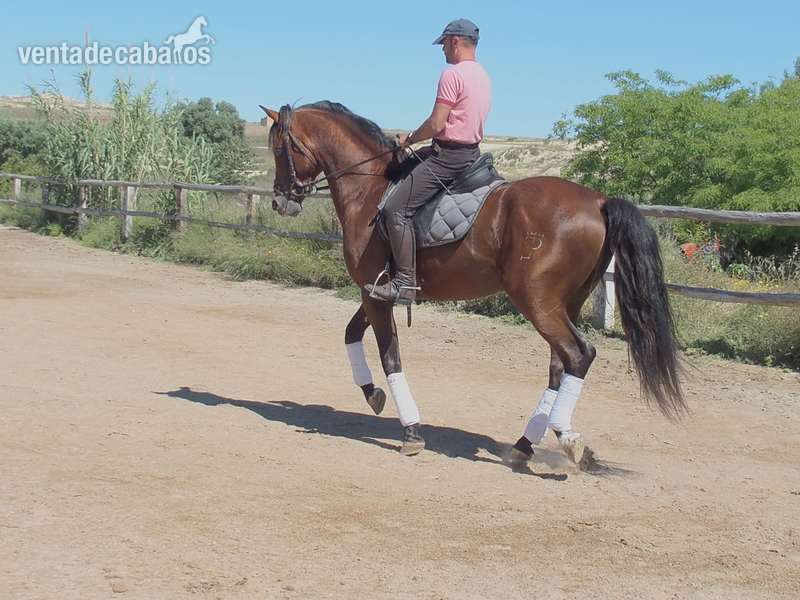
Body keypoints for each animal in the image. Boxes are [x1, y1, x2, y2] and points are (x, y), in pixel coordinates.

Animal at [262, 101, 687, 463]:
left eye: (279, 148)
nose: (281, 202)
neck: (370, 189)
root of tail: (598, 201)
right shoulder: (378, 290)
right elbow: (351, 334)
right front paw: (372, 394)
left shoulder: (377, 295)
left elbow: (389, 356)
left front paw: (411, 431)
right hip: (565, 303)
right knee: (560, 364)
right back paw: (524, 445)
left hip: (536, 300)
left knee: (579, 355)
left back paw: (566, 438)